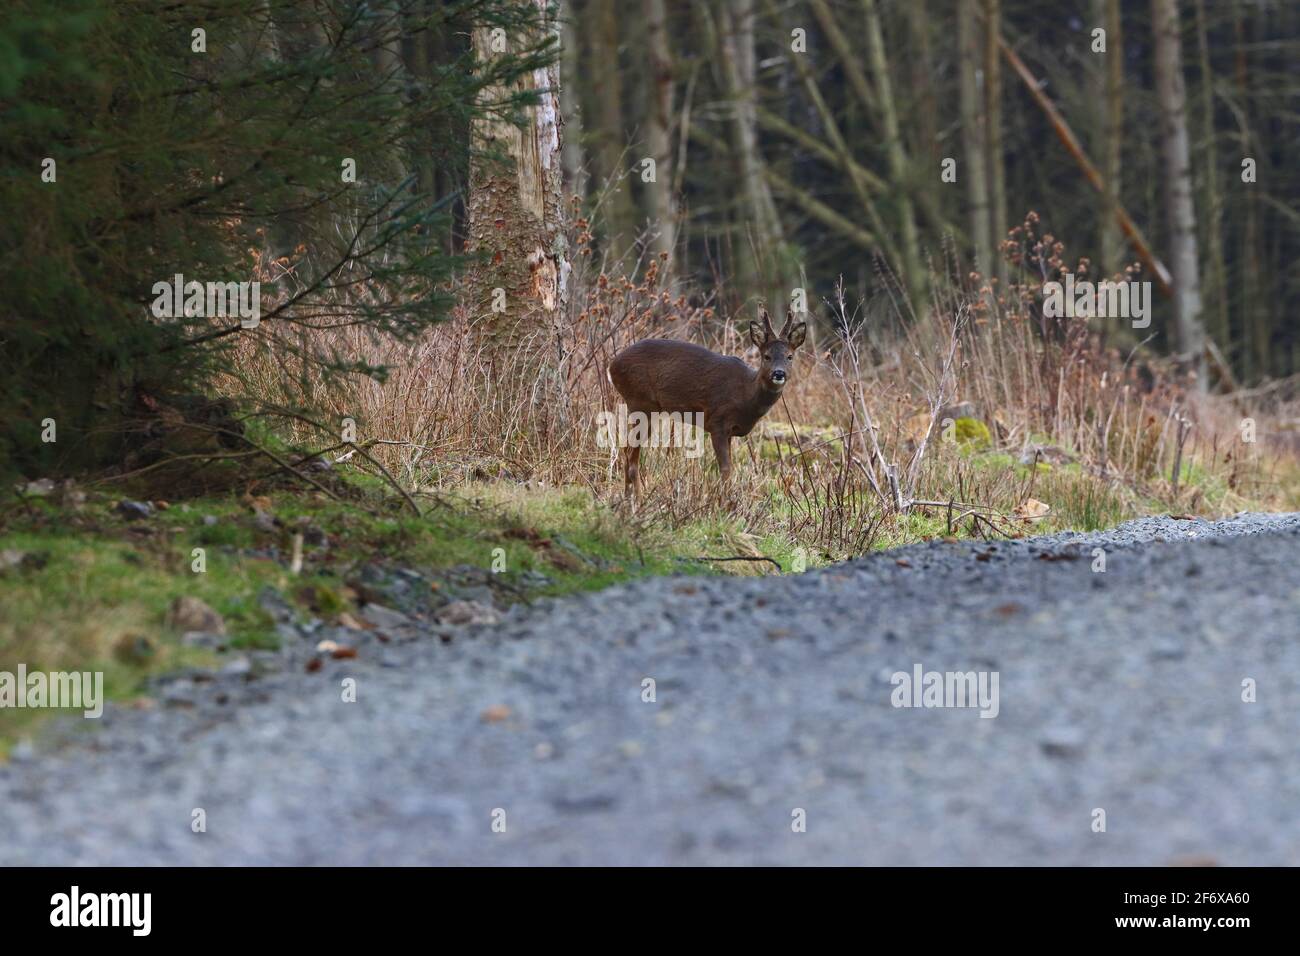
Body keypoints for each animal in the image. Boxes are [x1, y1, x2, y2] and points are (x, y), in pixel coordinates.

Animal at [607, 306, 807, 496]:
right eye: (766, 356)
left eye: (790, 356)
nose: (779, 373)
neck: (746, 395)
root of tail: (611, 366)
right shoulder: (717, 422)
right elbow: (725, 470)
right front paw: (725, 503)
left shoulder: (730, 432)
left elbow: (730, 467)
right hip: (640, 402)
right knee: (631, 454)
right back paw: (637, 501)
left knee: (626, 450)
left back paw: (627, 498)